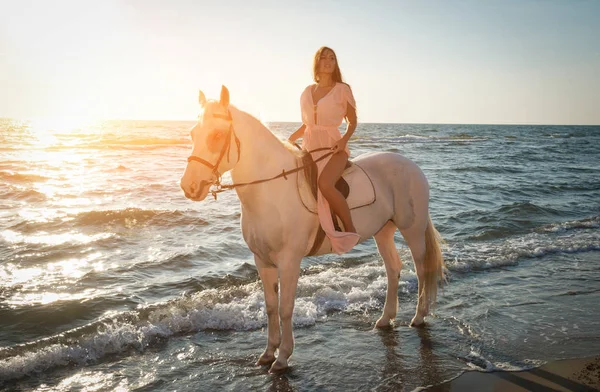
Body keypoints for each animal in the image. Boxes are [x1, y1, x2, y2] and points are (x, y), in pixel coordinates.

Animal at [180, 86, 442, 374]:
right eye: (192, 133)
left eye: (216, 135)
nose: (189, 186)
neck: (271, 191)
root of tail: (411, 166)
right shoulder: (262, 260)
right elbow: (270, 307)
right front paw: (268, 353)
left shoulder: (289, 261)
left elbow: (285, 308)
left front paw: (283, 357)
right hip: (383, 232)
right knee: (393, 268)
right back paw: (385, 319)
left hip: (412, 229)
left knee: (422, 269)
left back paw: (418, 317)